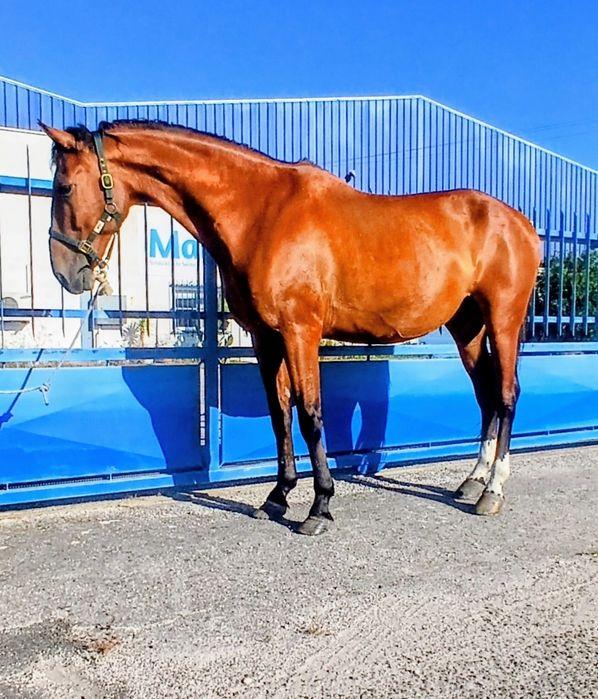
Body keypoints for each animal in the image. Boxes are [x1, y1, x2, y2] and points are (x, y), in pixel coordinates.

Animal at [41, 120, 541, 535]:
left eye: (64, 187)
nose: (64, 273)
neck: (262, 211)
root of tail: (522, 224)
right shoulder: (266, 338)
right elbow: (280, 414)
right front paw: (277, 497)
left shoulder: (301, 331)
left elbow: (310, 413)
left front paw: (319, 507)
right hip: (467, 326)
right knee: (486, 394)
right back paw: (472, 481)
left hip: (503, 320)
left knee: (506, 395)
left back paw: (492, 490)